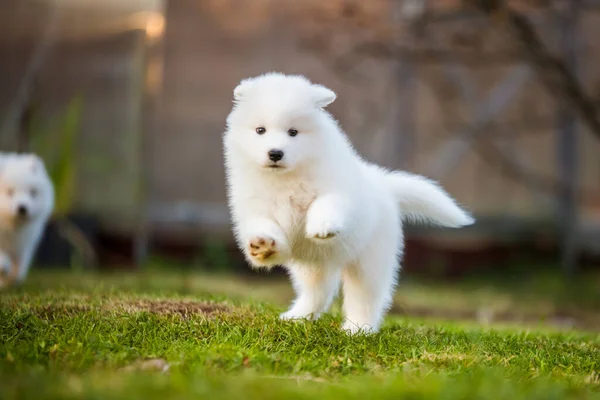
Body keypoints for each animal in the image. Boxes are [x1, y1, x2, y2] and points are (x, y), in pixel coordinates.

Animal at [0, 153, 54, 288]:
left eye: (32, 192)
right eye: (10, 192)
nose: (22, 208)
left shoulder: (24, 244)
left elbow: (19, 267)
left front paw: (12, 278)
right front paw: (4, 266)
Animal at [224, 72, 474, 334]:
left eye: (293, 132)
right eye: (260, 130)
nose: (275, 153)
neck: (286, 179)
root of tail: (383, 184)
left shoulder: (337, 191)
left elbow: (324, 205)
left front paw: (321, 226)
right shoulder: (255, 208)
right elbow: (264, 226)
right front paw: (262, 245)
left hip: (369, 261)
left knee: (365, 298)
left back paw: (358, 329)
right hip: (314, 265)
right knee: (318, 292)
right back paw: (298, 317)